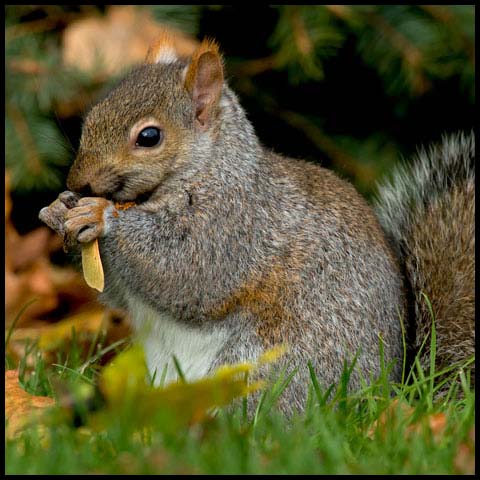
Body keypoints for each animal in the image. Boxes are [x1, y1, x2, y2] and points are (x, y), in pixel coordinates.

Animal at [39, 35, 474, 414]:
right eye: (93, 116)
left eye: (149, 137)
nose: (78, 182)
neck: (209, 170)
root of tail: (389, 393)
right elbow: (119, 294)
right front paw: (59, 210)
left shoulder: (234, 226)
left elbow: (183, 271)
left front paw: (100, 217)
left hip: (265, 369)